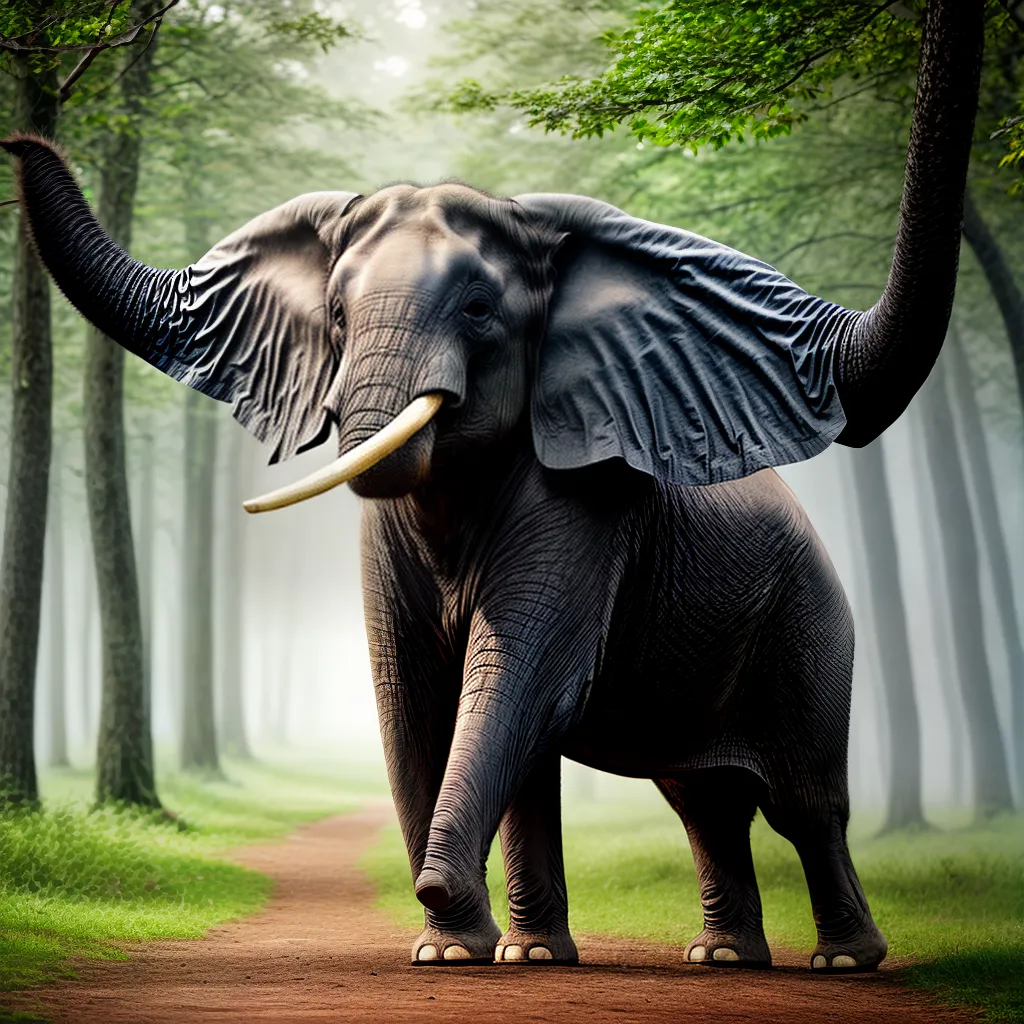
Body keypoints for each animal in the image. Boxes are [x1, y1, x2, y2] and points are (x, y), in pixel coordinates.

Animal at [3, 0, 981, 974]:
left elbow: (517, 679)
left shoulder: (588, 513)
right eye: (335, 316)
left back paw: (840, 962)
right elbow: (416, 689)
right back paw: (714, 958)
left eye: (479, 310)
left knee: (804, 801)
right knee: (700, 797)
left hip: (809, 622)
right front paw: (474, 951)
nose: (17, 138)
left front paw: (458, 931)